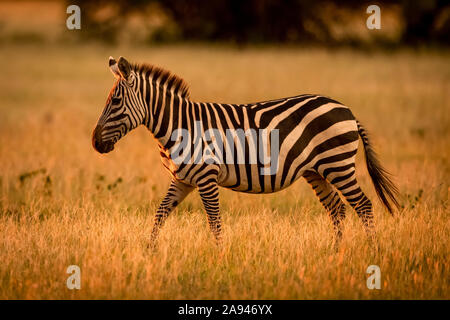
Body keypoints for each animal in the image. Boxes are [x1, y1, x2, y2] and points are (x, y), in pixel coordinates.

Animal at [92, 56, 400, 249]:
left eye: (115, 101)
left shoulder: (206, 178)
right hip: (316, 172)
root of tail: (347, 110)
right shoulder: (182, 180)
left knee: (363, 205)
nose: (95, 143)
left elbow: (214, 222)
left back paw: (372, 252)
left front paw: (219, 258)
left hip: (338, 164)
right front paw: (149, 252)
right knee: (337, 209)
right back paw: (334, 253)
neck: (180, 125)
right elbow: (160, 214)